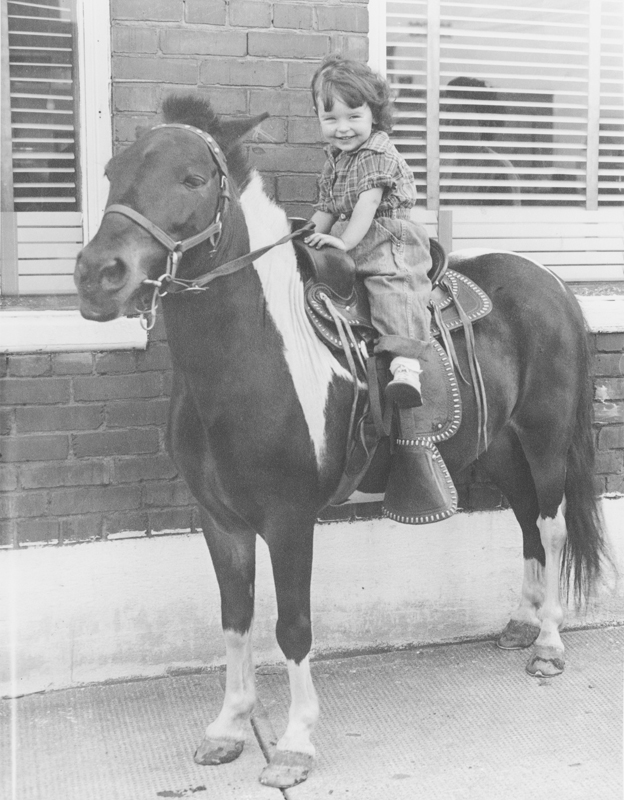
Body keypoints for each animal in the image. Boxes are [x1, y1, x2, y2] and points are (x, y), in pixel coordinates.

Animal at [74, 95, 606, 790]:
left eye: (192, 179)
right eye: (112, 173)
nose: (97, 275)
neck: (249, 355)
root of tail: (551, 281)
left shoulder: (290, 518)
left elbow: (293, 628)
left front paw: (295, 744)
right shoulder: (220, 520)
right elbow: (235, 618)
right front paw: (229, 726)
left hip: (544, 443)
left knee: (550, 524)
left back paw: (548, 643)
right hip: (498, 448)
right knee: (525, 527)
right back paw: (521, 623)